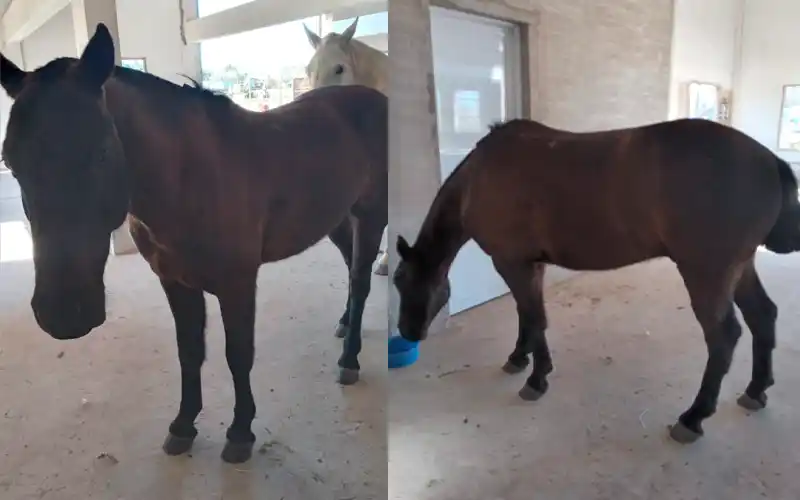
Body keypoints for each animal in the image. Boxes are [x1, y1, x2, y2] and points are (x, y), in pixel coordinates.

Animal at [393, 117, 800, 444]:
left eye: (402, 280)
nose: (409, 333)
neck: (479, 178)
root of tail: (769, 161)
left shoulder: (511, 263)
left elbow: (535, 318)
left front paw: (536, 379)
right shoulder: (529, 265)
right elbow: (528, 316)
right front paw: (519, 358)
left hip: (707, 273)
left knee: (723, 337)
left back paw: (693, 417)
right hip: (740, 267)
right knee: (762, 316)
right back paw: (755, 391)